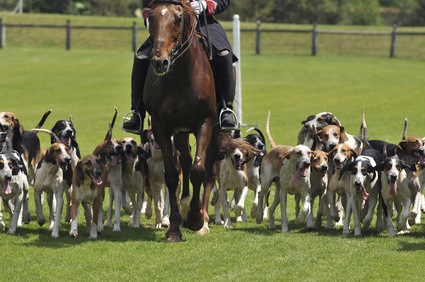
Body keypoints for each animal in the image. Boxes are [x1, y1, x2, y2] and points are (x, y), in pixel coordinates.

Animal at [143, 0, 220, 242]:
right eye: (152, 17)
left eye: (178, 19)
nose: (160, 62)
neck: (179, 76)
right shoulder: (161, 126)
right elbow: (171, 173)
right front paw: (174, 227)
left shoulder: (204, 123)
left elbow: (198, 170)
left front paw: (196, 218)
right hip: (181, 131)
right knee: (185, 160)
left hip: (215, 130)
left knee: (208, 169)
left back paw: (203, 219)